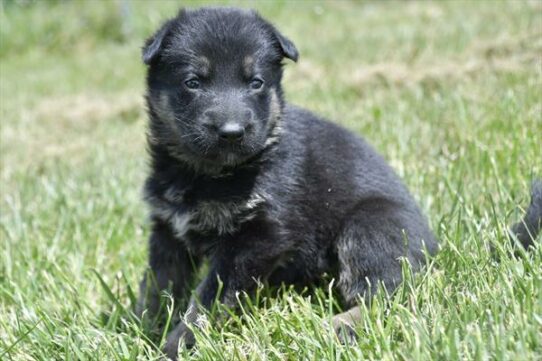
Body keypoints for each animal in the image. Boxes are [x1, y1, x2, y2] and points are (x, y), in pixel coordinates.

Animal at [136, 6, 542, 360]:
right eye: (192, 82)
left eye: (256, 83)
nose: (232, 132)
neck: (205, 174)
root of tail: (435, 252)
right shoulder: (168, 231)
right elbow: (157, 287)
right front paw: (139, 328)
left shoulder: (257, 237)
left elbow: (207, 300)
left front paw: (176, 344)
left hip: (369, 228)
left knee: (389, 297)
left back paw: (332, 327)